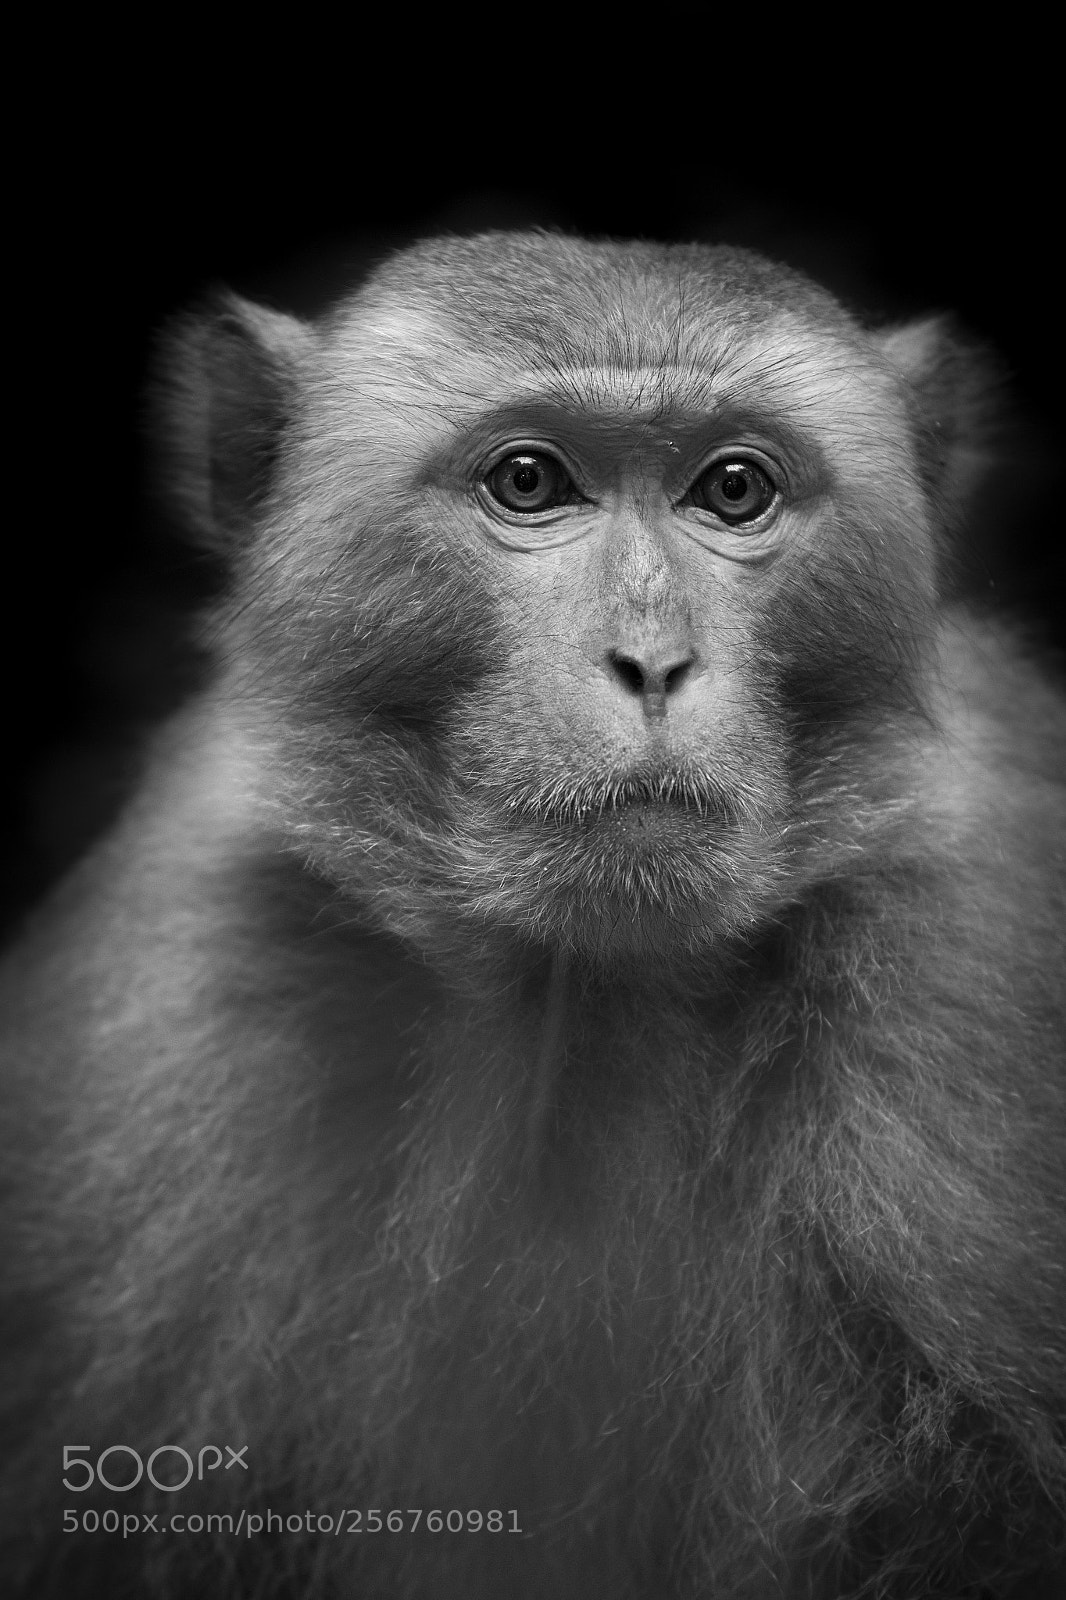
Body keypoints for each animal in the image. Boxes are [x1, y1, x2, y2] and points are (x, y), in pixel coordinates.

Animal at [1, 230, 1064, 1600]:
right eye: (528, 480)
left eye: (732, 490)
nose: (652, 662)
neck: (578, 1006)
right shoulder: (170, 1011)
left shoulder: (966, 992)